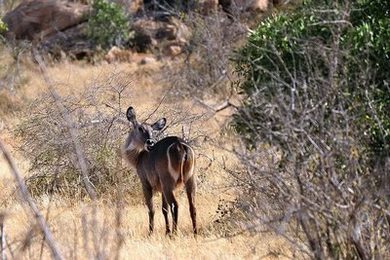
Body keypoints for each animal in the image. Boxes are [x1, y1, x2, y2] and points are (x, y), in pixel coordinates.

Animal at [122, 106, 198, 235]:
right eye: (140, 128)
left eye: (152, 130)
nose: (150, 142)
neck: (139, 157)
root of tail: (180, 144)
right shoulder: (161, 188)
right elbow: (164, 209)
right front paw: (166, 232)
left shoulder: (145, 183)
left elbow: (151, 209)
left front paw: (151, 232)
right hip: (189, 179)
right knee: (192, 206)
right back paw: (195, 233)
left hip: (168, 182)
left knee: (175, 205)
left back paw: (175, 233)